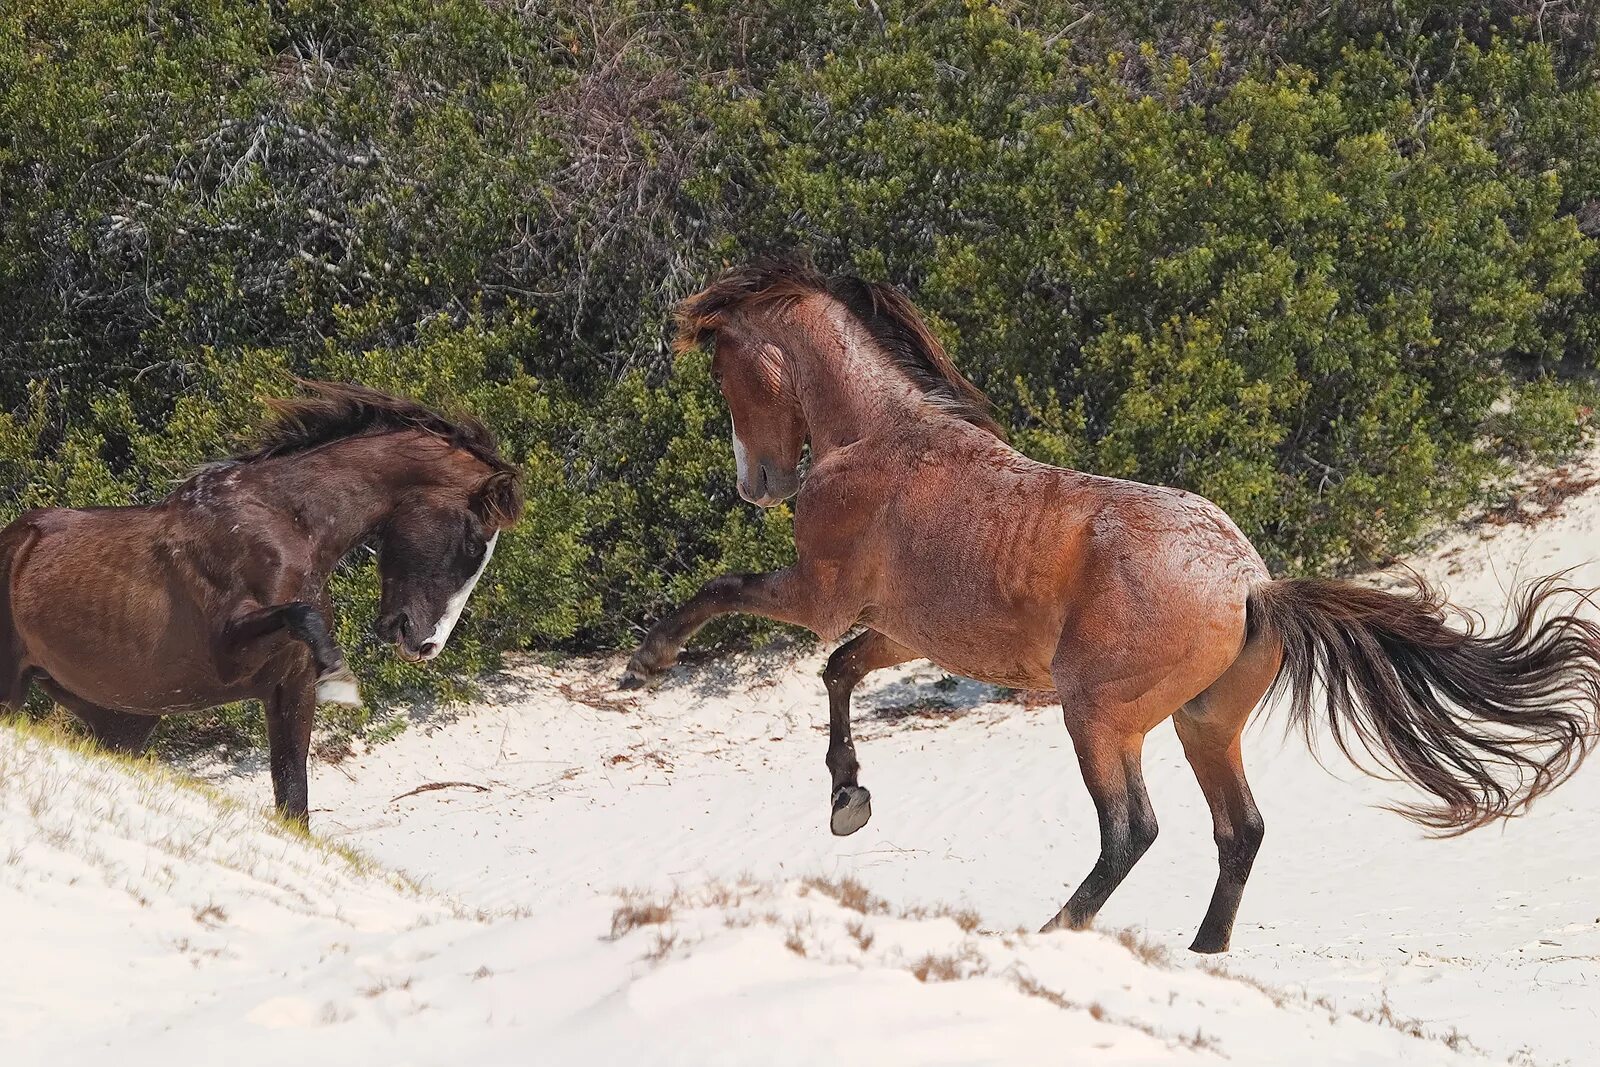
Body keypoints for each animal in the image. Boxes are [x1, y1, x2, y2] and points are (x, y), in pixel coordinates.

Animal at [0, 383, 521, 825]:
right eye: (473, 542)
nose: (426, 644)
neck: (286, 522)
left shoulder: (290, 688)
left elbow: (293, 797)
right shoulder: (226, 651)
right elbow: (302, 616)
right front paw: (341, 679)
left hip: (119, 719)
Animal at [620, 262, 1600, 953]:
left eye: (723, 369)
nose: (755, 485)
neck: (881, 438)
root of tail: (1251, 584)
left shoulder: (821, 593)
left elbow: (729, 596)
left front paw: (648, 657)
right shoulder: (900, 630)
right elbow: (837, 673)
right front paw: (847, 797)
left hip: (1097, 714)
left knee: (1135, 828)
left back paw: (1060, 930)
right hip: (1203, 724)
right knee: (1238, 828)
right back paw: (1202, 950)